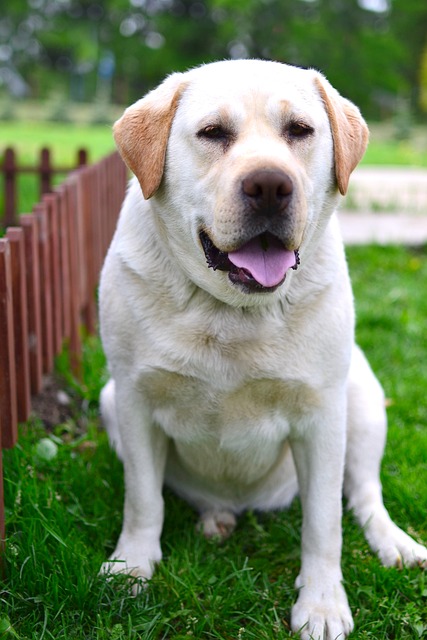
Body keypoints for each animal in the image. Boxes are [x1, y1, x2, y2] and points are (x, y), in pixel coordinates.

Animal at [98, 60, 427, 640]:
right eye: (213, 133)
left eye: (299, 130)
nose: (270, 185)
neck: (231, 311)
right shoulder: (134, 400)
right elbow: (143, 499)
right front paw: (131, 566)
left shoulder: (321, 416)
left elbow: (324, 522)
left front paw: (322, 604)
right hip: (108, 399)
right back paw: (216, 518)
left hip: (362, 396)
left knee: (364, 494)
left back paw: (395, 543)